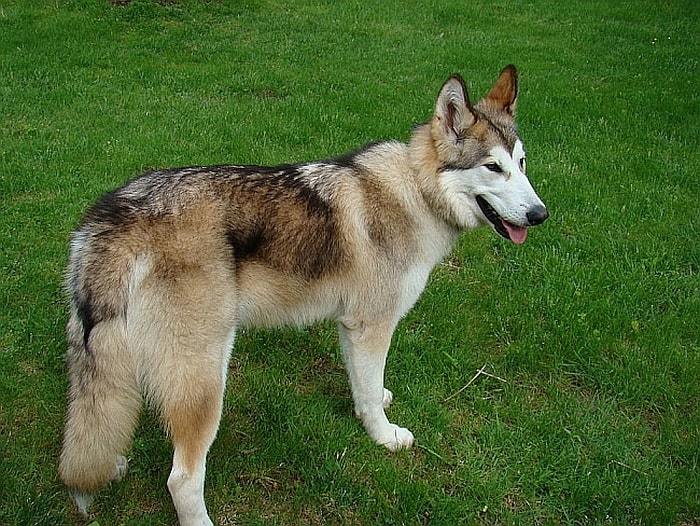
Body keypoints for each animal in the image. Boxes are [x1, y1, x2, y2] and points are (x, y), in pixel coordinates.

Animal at [60, 67, 548, 526]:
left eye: (522, 163)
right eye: (493, 168)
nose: (540, 214)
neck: (416, 191)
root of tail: (110, 215)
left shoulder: (351, 326)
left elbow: (364, 387)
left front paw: (376, 405)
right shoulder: (373, 326)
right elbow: (370, 393)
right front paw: (385, 437)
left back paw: (113, 463)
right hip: (205, 378)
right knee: (181, 479)